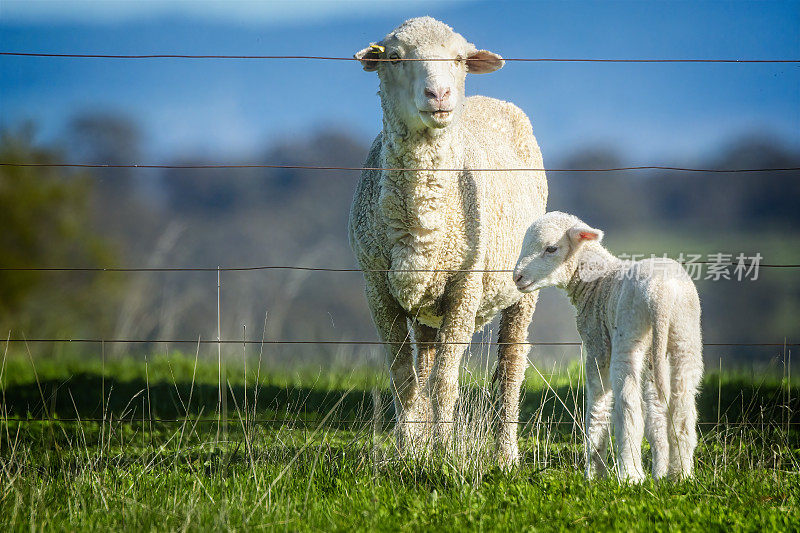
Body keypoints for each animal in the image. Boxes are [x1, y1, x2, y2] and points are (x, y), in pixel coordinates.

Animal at [350, 16, 552, 466]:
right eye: (395, 57)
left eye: (459, 59)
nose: (439, 95)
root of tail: (491, 99)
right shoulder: (376, 288)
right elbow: (403, 375)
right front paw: (408, 447)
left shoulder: (465, 286)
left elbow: (445, 378)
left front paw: (443, 450)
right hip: (425, 304)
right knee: (423, 361)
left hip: (522, 288)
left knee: (511, 364)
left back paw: (507, 454)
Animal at [512, 211, 700, 478]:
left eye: (551, 248)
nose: (517, 277)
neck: (597, 282)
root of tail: (660, 294)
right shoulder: (653, 358)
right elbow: (655, 409)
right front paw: (660, 471)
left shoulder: (596, 344)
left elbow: (597, 402)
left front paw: (594, 471)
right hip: (685, 335)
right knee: (683, 404)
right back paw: (681, 475)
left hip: (629, 334)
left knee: (628, 403)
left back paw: (630, 474)